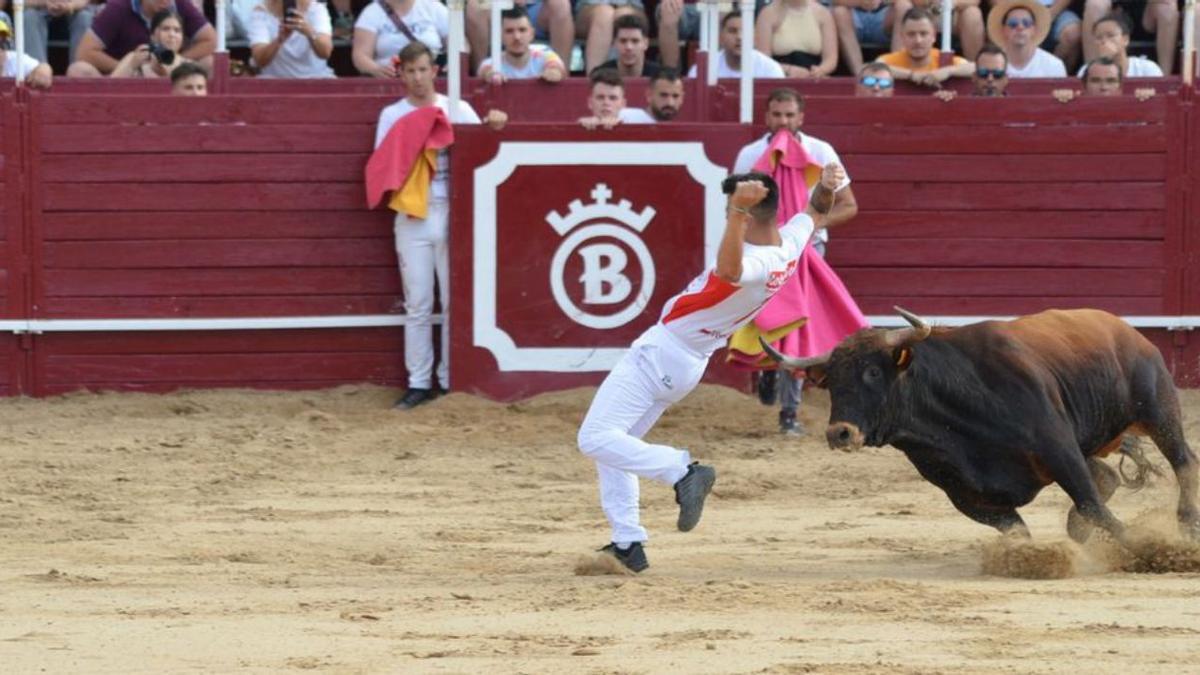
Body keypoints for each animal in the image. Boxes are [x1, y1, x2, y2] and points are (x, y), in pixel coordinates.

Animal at [763, 307, 1195, 542]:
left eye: (871, 371)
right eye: (832, 381)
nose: (840, 433)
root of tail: (1125, 330)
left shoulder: (1060, 449)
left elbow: (1093, 506)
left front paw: (1145, 551)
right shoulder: (964, 493)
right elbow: (1019, 531)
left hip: (1158, 408)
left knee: (1183, 461)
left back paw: (1187, 527)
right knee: (1107, 475)